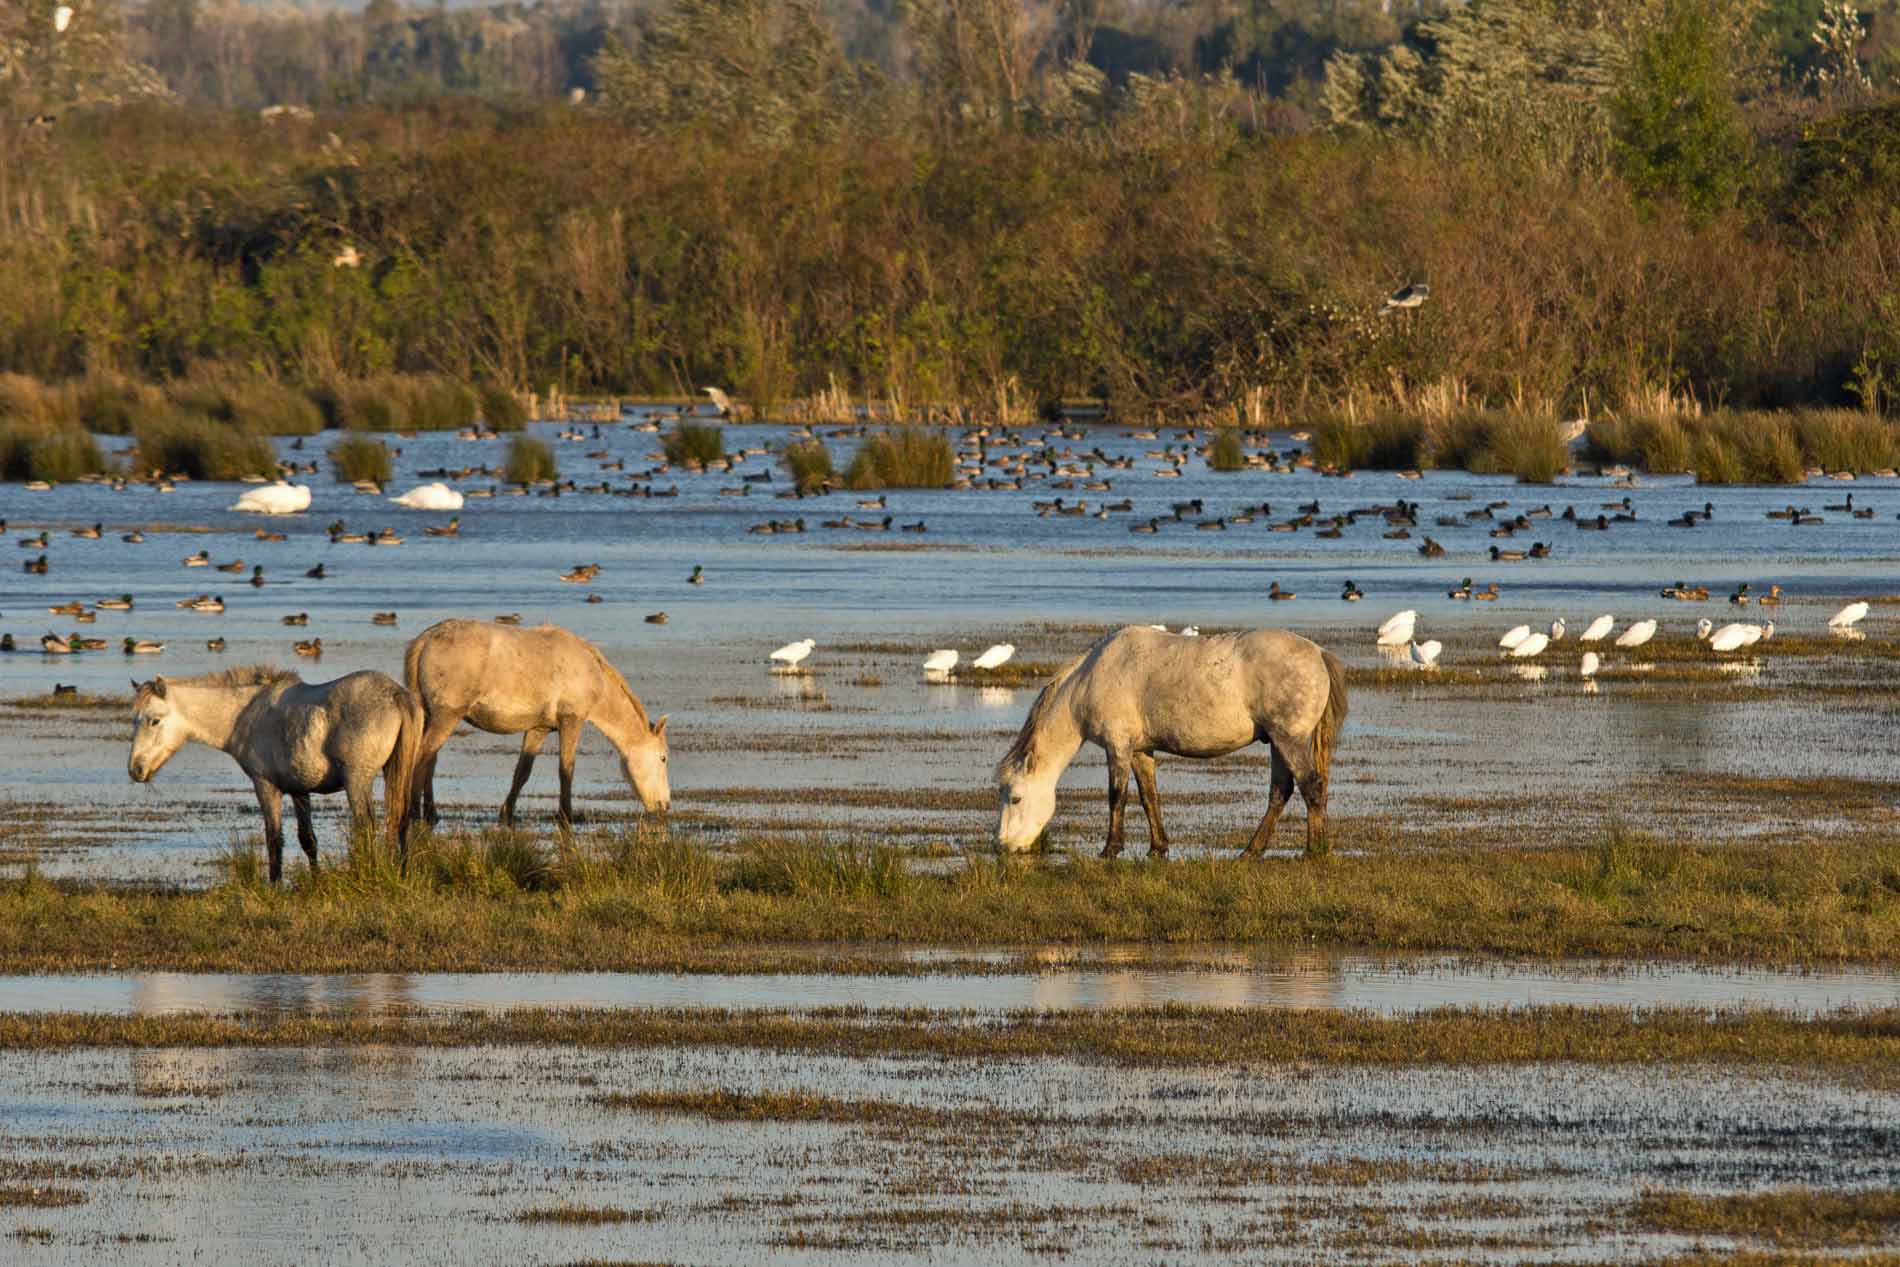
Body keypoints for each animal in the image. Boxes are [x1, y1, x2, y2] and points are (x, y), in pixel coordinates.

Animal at [129, 668, 419, 888]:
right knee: (401, 820)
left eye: (154, 721)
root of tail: (395, 694)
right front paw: (316, 882)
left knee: (365, 827)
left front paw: (275, 885)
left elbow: (274, 838)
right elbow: (308, 840)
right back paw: (402, 872)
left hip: (357, 782)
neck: (246, 713)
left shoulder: (265, 786)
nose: (135, 769)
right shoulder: (300, 790)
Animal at [400, 623, 668, 824]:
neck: (593, 674)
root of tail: (426, 639)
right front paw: (566, 815)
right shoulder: (571, 721)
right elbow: (566, 770)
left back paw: (431, 813)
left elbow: (522, 772)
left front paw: (507, 813)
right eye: (663, 758)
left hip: (431, 716)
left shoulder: (539, 728)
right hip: (446, 716)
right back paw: (414, 811)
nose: (665, 805)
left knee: (430, 761)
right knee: (422, 757)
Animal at [995, 626, 1352, 858]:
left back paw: (1314, 850)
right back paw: (1251, 851)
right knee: (1281, 792)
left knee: (1311, 786)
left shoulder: (1118, 747)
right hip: (1277, 742)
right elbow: (1149, 796)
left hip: (1289, 739)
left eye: (1015, 798)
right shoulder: (1140, 751)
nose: (1004, 846)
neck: (1090, 677)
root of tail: (1318, 653)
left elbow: (1117, 797)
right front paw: (1158, 847)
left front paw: (1110, 849)